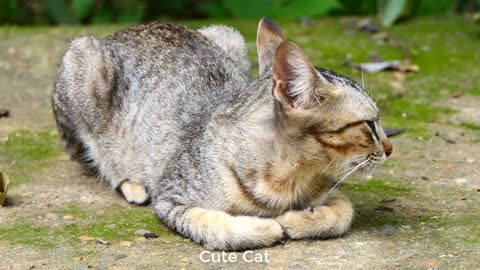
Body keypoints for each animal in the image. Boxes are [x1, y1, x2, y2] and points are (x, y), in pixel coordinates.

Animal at [51, 17, 394, 251]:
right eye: (370, 124)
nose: (391, 148)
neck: (292, 178)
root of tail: (121, 32)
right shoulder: (170, 199)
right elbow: (216, 226)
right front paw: (265, 227)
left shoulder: (332, 189)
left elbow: (344, 213)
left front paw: (297, 220)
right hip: (82, 58)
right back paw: (131, 183)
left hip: (228, 35)